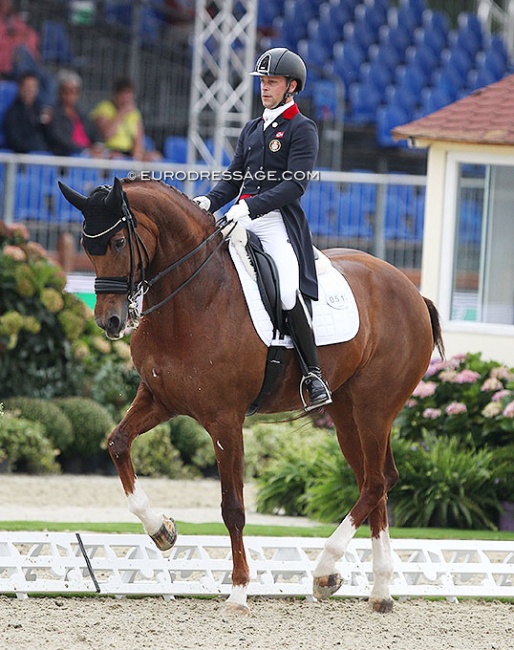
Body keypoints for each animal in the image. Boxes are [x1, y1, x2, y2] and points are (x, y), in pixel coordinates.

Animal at [59, 177, 444, 612]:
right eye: (88, 246)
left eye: (120, 242)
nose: (109, 321)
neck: (197, 296)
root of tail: (412, 290)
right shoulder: (159, 399)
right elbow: (117, 443)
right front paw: (162, 531)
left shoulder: (225, 420)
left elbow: (233, 508)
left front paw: (240, 590)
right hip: (348, 416)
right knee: (375, 481)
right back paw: (378, 590)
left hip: (374, 408)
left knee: (377, 482)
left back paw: (325, 570)